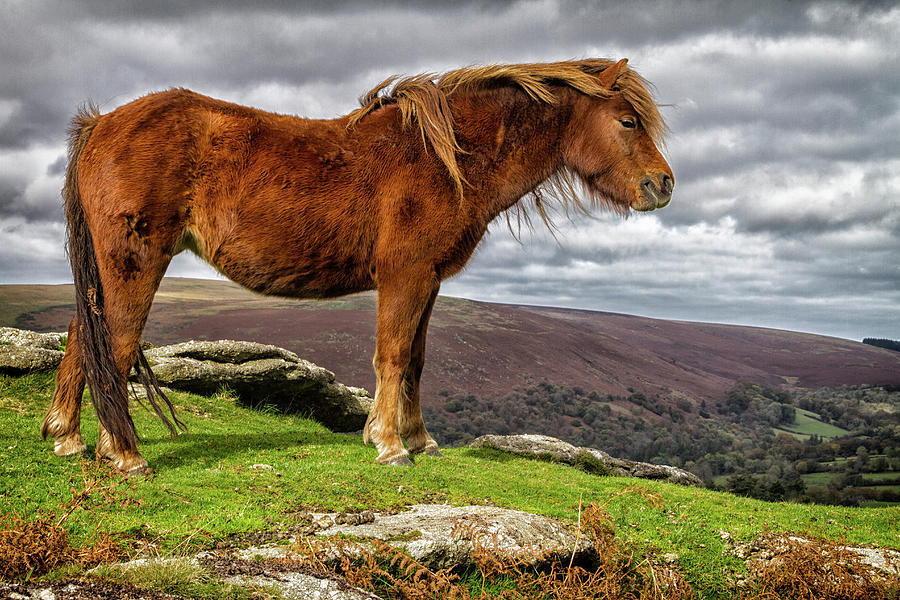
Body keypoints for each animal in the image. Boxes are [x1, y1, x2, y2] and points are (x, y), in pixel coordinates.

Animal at [42, 58, 673, 473]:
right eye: (628, 121)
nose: (662, 185)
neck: (446, 159)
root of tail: (102, 123)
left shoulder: (428, 281)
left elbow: (415, 360)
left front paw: (418, 440)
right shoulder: (405, 275)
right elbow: (391, 355)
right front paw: (391, 447)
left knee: (81, 336)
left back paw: (68, 438)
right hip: (134, 262)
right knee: (115, 342)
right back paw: (124, 455)